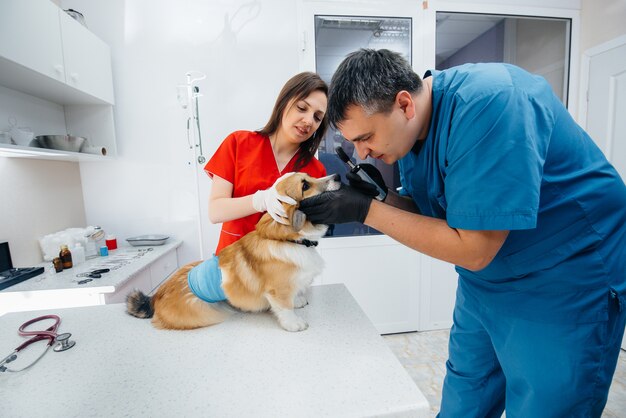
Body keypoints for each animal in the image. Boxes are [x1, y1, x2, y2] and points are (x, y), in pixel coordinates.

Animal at [127, 171, 338, 332]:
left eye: (309, 176)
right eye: (305, 186)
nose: (337, 176)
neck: (291, 241)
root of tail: (155, 297)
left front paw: (298, 300)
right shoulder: (278, 291)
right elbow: (285, 308)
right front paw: (295, 323)